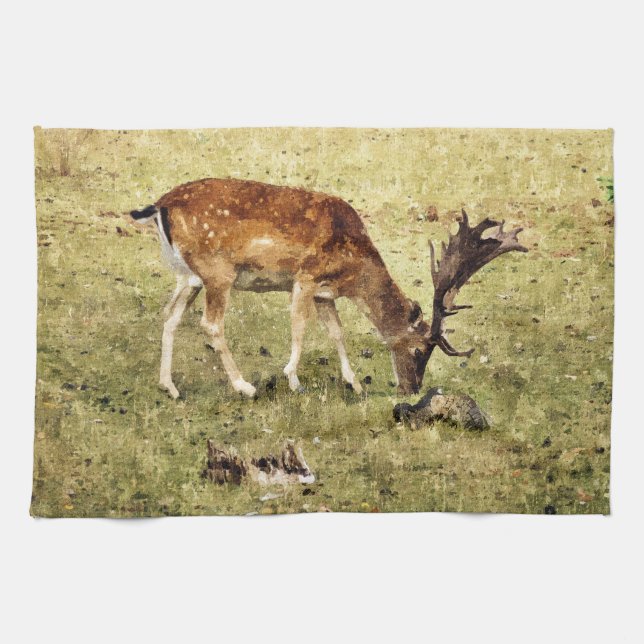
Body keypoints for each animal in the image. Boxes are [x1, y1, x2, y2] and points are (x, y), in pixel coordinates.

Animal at [130, 178, 526, 399]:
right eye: (419, 350)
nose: (411, 390)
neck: (354, 271)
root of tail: (158, 206)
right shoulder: (305, 276)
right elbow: (300, 328)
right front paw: (293, 380)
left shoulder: (324, 294)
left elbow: (337, 333)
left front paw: (355, 384)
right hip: (218, 272)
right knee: (211, 324)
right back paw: (245, 387)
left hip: (189, 276)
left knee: (169, 316)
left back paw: (170, 387)